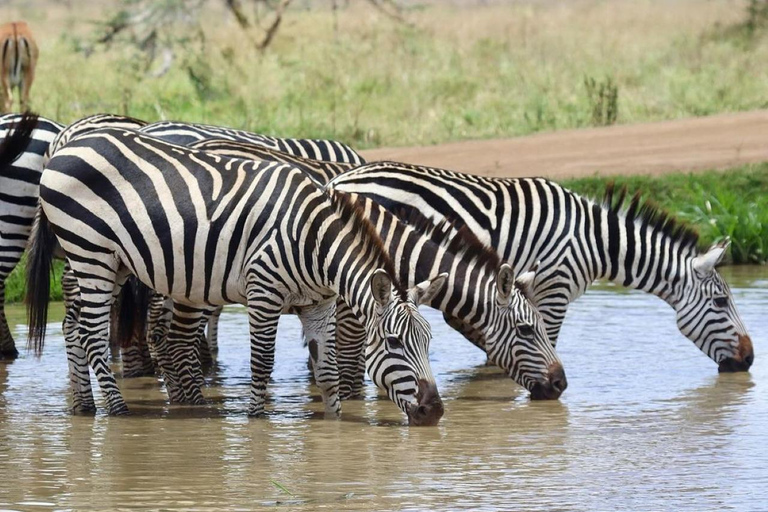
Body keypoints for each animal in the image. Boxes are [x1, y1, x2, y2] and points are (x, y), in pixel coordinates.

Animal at [15, 125, 448, 424]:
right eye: (393, 343)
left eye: (429, 342)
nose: (435, 412)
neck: (314, 242)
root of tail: (64, 146)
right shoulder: (263, 291)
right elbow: (262, 363)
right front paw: (256, 421)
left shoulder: (318, 304)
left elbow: (326, 373)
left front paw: (334, 425)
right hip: (91, 252)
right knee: (91, 333)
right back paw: (118, 410)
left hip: (109, 261)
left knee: (73, 327)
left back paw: (83, 406)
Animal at [328, 162, 752, 374]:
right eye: (720, 303)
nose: (749, 360)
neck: (596, 242)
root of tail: (340, 178)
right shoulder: (554, 289)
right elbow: (544, 340)